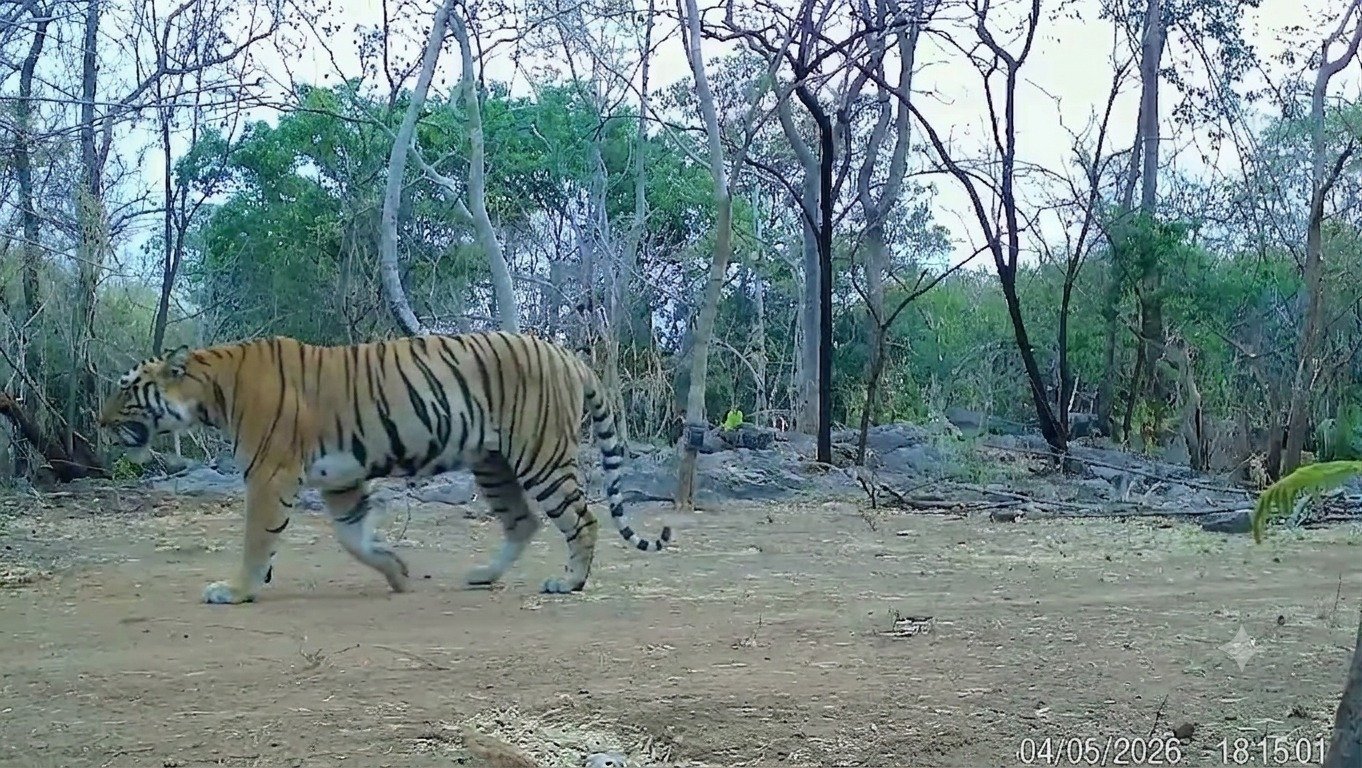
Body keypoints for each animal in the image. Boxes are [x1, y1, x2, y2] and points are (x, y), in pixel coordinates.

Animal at [98, 331, 672, 605]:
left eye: (126, 390)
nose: (98, 422)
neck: (210, 391)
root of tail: (567, 355)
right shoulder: (340, 478)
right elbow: (354, 537)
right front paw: (397, 572)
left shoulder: (269, 474)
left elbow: (257, 540)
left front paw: (236, 590)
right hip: (492, 462)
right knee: (522, 520)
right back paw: (483, 575)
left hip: (540, 455)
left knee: (582, 518)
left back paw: (569, 582)